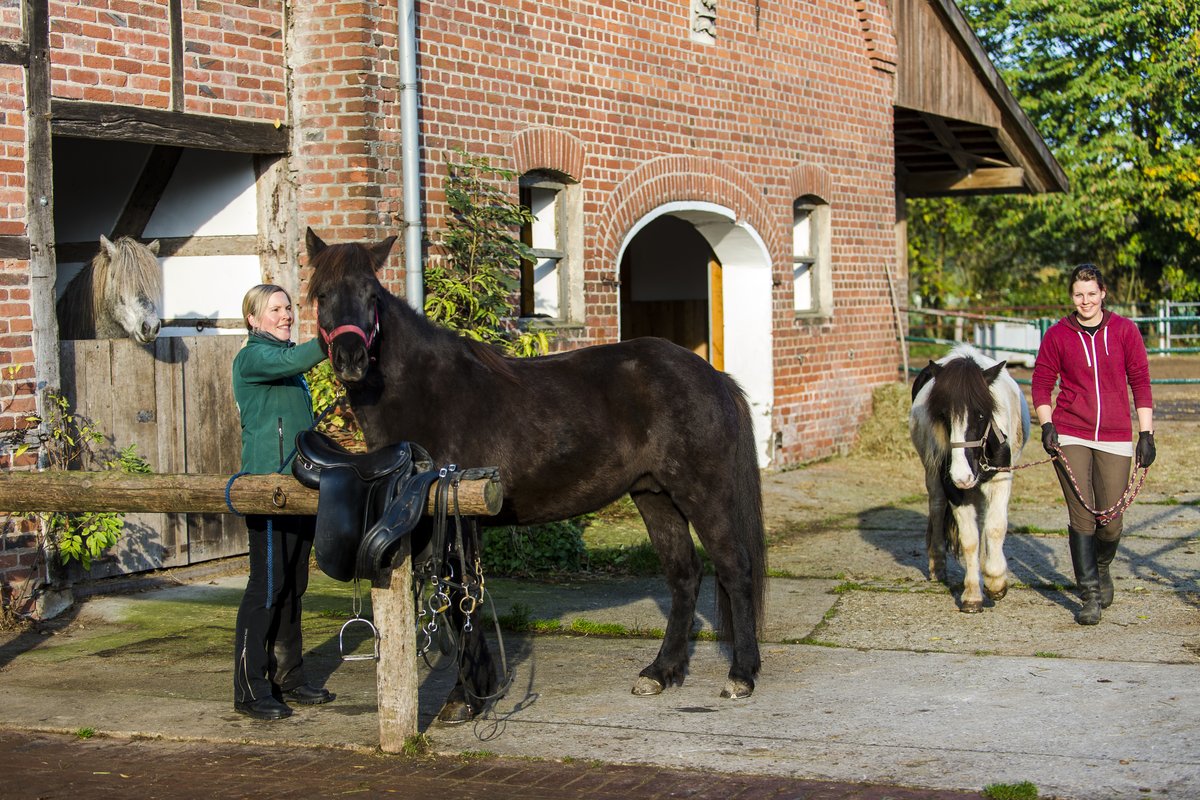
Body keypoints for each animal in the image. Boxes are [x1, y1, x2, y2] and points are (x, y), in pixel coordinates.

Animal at [304, 226, 763, 719]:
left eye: (371, 295)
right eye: (322, 294)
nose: (350, 359)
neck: (427, 390)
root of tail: (713, 377)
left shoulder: (458, 514)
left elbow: (460, 597)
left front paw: (466, 697)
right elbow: (458, 599)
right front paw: (475, 692)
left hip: (702, 492)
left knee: (734, 569)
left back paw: (741, 675)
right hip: (654, 496)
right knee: (684, 576)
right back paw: (660, 672)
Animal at [907, 345, 1032, 614]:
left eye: (982, 414)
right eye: (944, 415)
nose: (962, 476)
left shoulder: (1001, 479)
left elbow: (995, 528)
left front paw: (995, 581)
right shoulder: (954, 490)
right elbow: (969, 539)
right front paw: (973, 593)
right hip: (933, 475)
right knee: (937, 507)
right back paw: (938, 565)